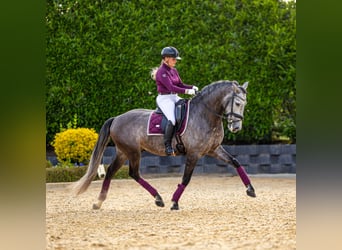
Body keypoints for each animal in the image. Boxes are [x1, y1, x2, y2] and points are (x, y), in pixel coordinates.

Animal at [74, 79, 256, 209]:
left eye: (245, 104)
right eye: (237, 103)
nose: (236, 127)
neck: (205, 114)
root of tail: (116, 118)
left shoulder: (214, 149)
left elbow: (235, 162)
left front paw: (250, 189)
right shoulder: (194, 153)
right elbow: (186, 178)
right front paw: (174, 202)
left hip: (123, 152)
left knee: (112, 172)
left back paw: (99, 202)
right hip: (133, 152)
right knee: (134, 173)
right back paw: (158, 198)